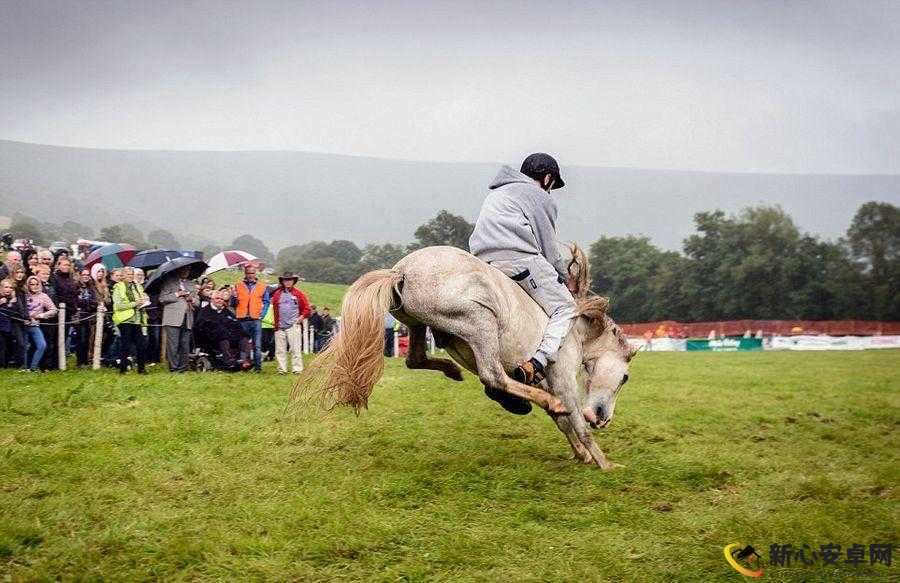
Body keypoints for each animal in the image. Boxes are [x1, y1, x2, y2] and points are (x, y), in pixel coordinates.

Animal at [292, 245, 636, 470]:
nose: (603, 418)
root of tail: (400, 271)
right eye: (625, 377)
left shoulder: (547, 379)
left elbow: (564, 422)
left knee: (415, 359)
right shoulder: (562, 378)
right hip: (479, 320)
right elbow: (575, 421)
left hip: (416, 323)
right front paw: (604, 463)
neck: (575, 326)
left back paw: (452, 370)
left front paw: (582, 455)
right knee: (492, 375)